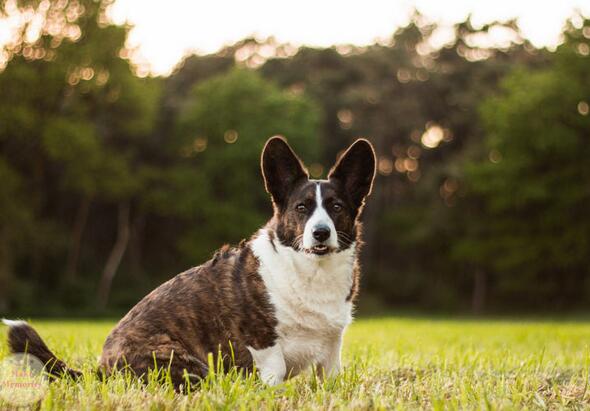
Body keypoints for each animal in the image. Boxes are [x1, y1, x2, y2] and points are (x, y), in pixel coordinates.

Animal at [3, 136, 376, 388]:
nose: (321, 233)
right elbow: (274, 374)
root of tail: (101, 369)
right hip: (190, 364)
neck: (312, 272)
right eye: (301, 208)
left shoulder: (331, 351)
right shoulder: (264, 347)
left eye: (336, 207)